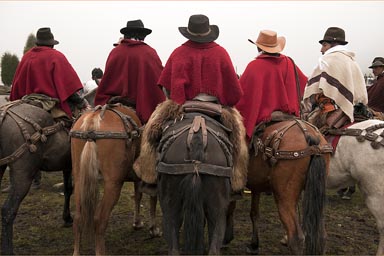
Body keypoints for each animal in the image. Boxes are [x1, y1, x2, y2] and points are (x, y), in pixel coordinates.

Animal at [0, 99, 73, 254]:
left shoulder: (67, 165)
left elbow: (68, 190)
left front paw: (67, 218)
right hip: (23, 174)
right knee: (8, 210)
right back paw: (8, 250)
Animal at [70, 103, 160, 255]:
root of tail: (93, 122)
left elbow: (138, 196)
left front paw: (138, 223)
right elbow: (148, 197)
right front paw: (152, 228)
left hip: (79, 179)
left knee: (78, 217)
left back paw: (76, 251)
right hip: (113, 184)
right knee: (100, 220)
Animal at [246, 117, 332, 255]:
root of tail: (310, 137)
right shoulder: (256, 186)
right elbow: (254, 213)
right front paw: (254, 244)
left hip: (284, 197)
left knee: (296, 238)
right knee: (322, 236)